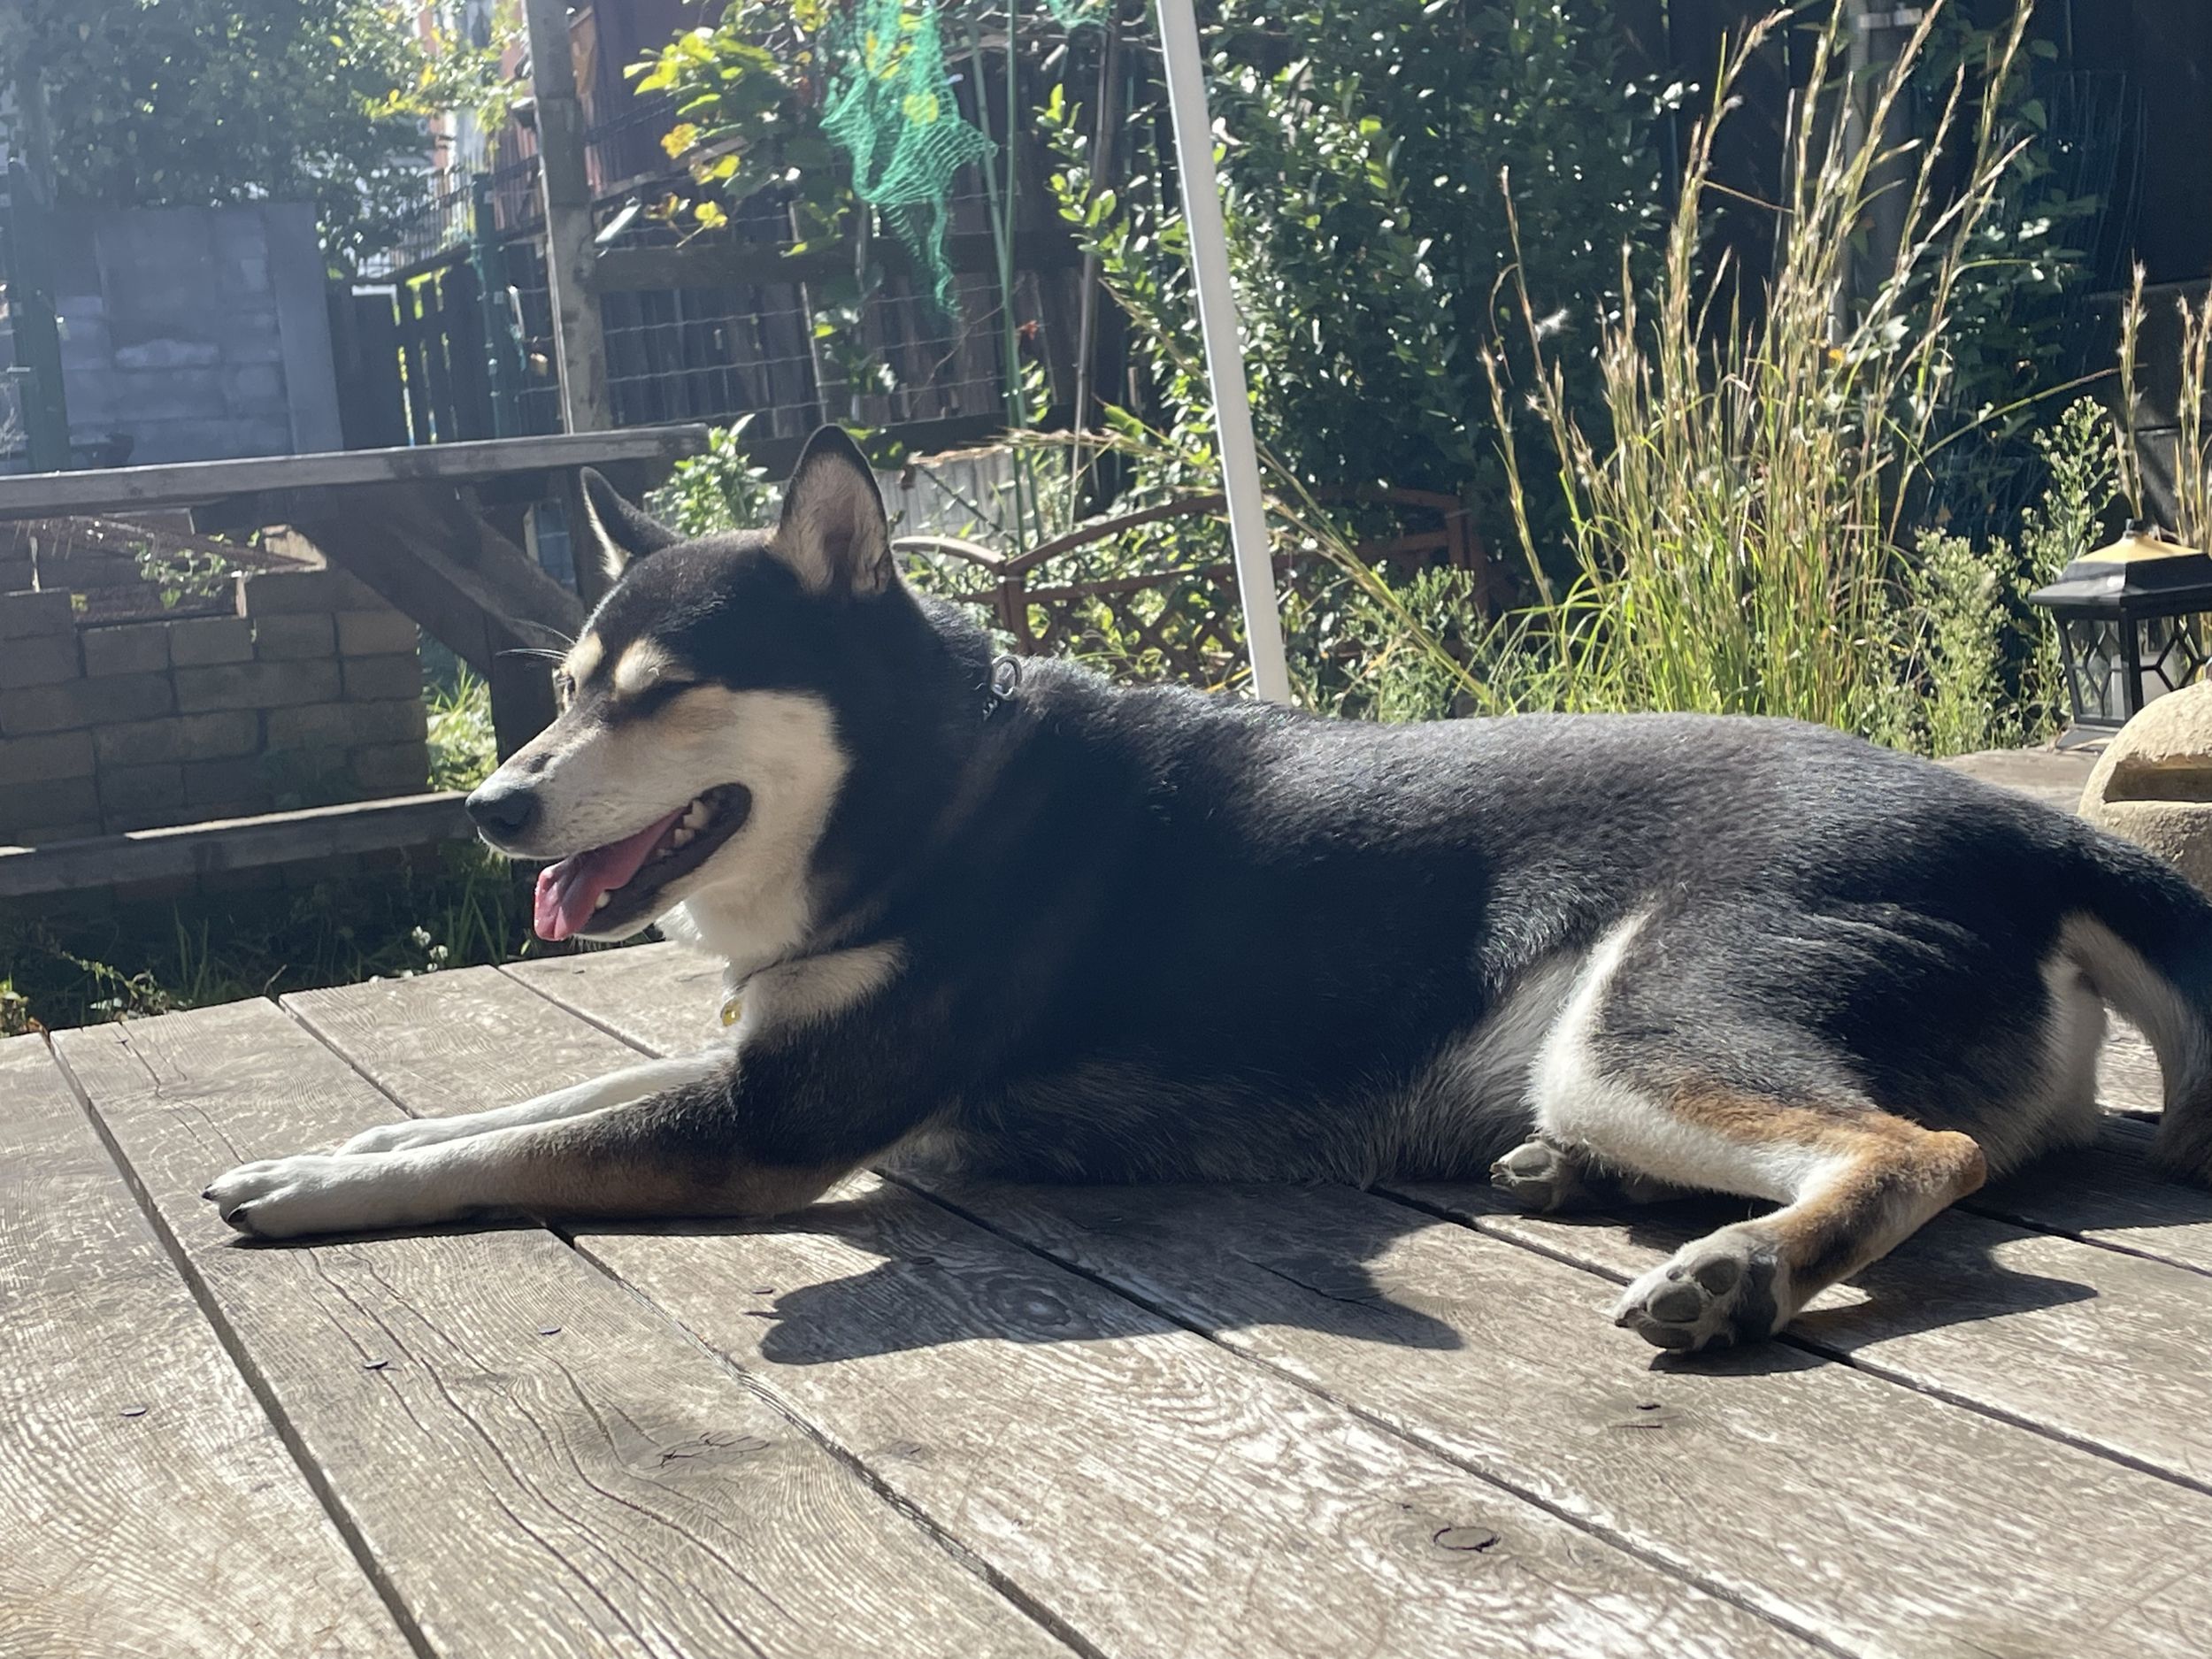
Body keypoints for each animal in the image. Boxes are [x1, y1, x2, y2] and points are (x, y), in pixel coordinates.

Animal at [204, 425, 2212, 1352]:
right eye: (557, 687)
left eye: (659, 692)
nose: (489, 806)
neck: (931, 795)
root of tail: (2026, 832)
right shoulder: (760, 1057)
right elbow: (518, 1101)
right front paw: (347, 1138)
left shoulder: (777, 1118)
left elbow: (526, 1142)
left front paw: (310, 1186)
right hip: (1606, 1056)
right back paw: (1580, 1185)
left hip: (1641, 1018)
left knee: (1915, 1152)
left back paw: (1734, 1270)